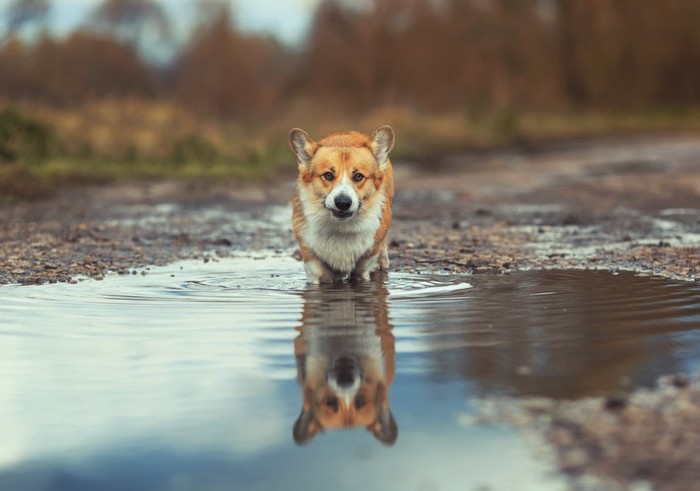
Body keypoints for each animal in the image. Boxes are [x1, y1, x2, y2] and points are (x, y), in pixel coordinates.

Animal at [286, 125, 394, 282]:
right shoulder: (314, 268)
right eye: (328, 175)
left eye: (358, 176)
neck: (341, 229)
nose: (343, 203)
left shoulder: (362, 268)